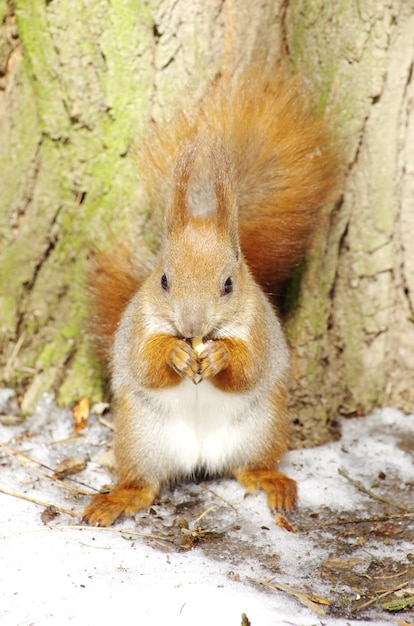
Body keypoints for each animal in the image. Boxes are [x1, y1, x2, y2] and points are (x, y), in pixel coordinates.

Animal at [81, 68, 336, 524]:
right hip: (141, 437)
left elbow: (248, 368)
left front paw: (220, 356)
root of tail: (199, 458)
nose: (193, 325)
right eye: (163, 280)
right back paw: (119, 498)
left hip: (261, 428)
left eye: (229, 284)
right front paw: (174, 353)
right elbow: (145, 364)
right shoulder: (138, 325)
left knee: (249, 466)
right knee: (144, 483)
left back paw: (272, 482)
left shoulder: (258, 327)